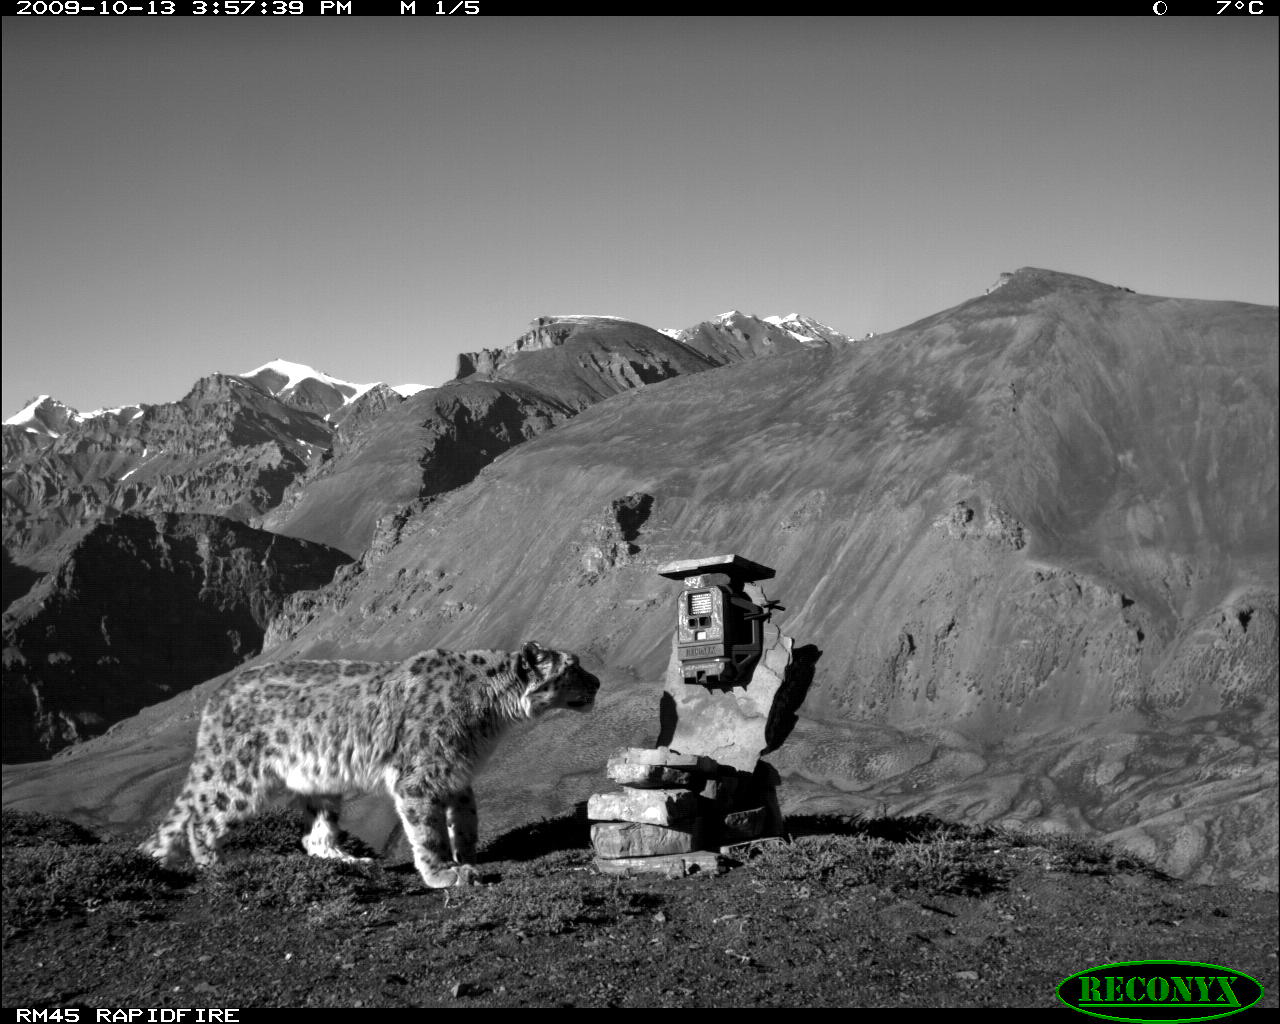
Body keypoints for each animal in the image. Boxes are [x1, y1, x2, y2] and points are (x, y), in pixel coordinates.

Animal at [142, 645, 601, 885]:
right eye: (573, 668)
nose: (597, 681)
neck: (492, 719)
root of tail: (218, 694)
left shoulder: (456, 775)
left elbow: (466, 819)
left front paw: (468, 855)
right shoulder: (420, 778)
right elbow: (428, 831)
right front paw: (443, 873)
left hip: (321, 785)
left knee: (313, 834)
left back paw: (346, 859)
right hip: (238, 777)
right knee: (201, 818)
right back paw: (216, 866)